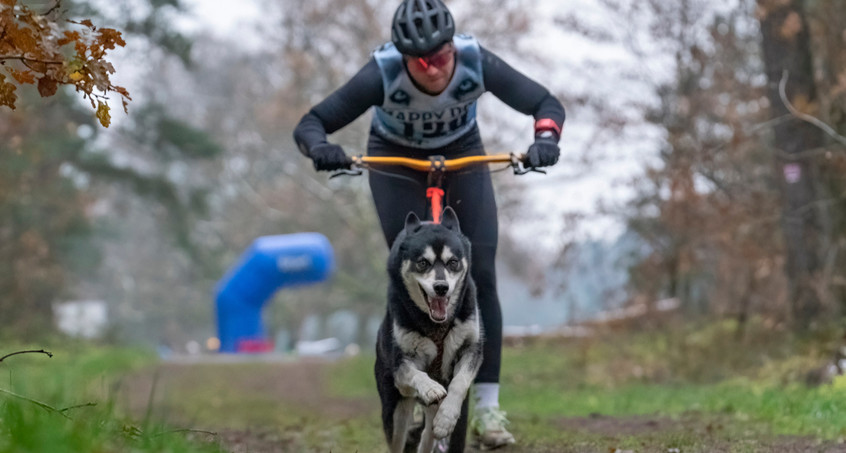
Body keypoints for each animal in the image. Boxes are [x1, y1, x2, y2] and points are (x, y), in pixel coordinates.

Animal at [376, 206, 484, 452]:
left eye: (453, 262)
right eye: (422, 263)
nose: (441, 287)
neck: (436, 324)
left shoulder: (471, 349)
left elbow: (459, 383)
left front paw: (447, 419)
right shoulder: (401, 368)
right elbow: (416, 374)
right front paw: (430, 388)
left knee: (428, 433)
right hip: (395, 409)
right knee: (397, 439)